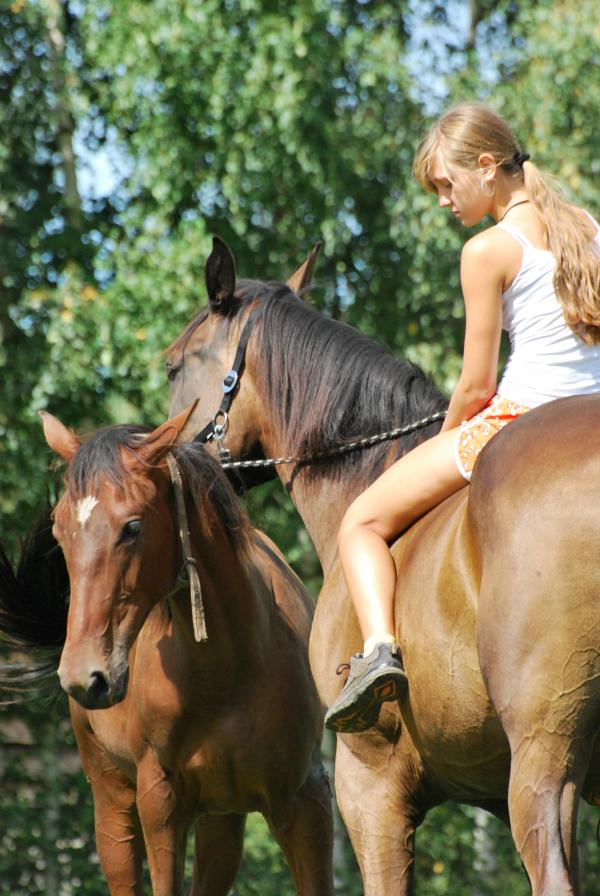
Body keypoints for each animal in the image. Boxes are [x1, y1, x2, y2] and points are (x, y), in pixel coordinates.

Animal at [0, 404, 334, 896]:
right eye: (59, 532)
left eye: (132, 526)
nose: (84, 677)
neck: (230, 668)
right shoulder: (160, 805)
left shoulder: (306, 802)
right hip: (114, 808)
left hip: (222, 819)